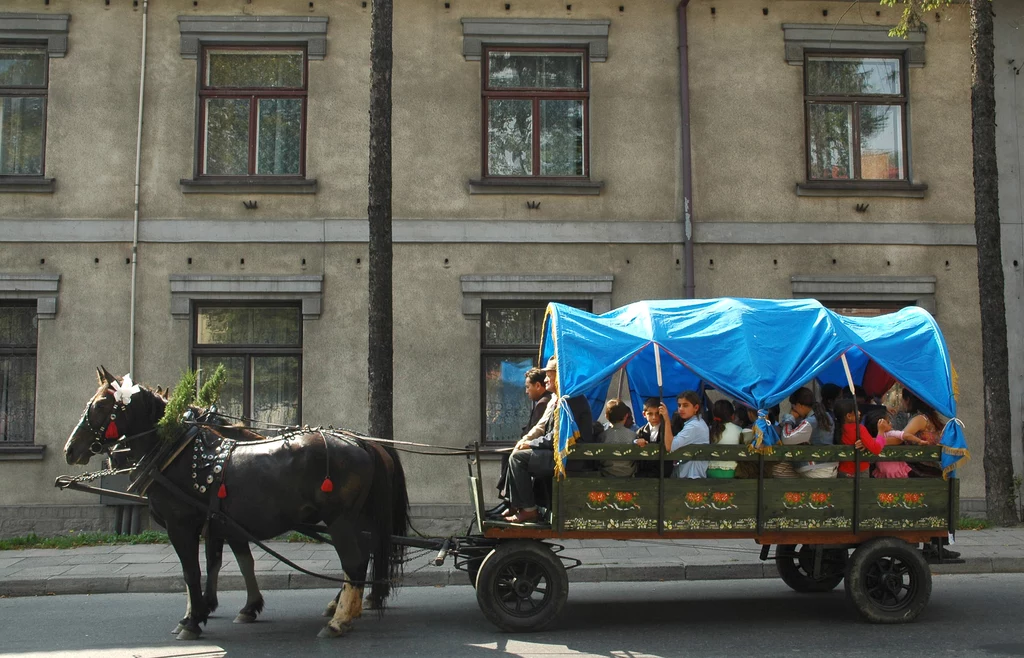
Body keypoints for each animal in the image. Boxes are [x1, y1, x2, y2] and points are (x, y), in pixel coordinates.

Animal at [61, 368, 407, 642]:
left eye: (101, 405)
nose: (70, 449)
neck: (175, 453)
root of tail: (361, 442)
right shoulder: (221, 523)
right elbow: (226, 563)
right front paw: (217, 608)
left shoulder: (182, 524)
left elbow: (192, 570)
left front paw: (193, 620)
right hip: (357, 519)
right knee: (363, 557)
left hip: (341, 519)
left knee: (354, 563)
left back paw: (339, 619)